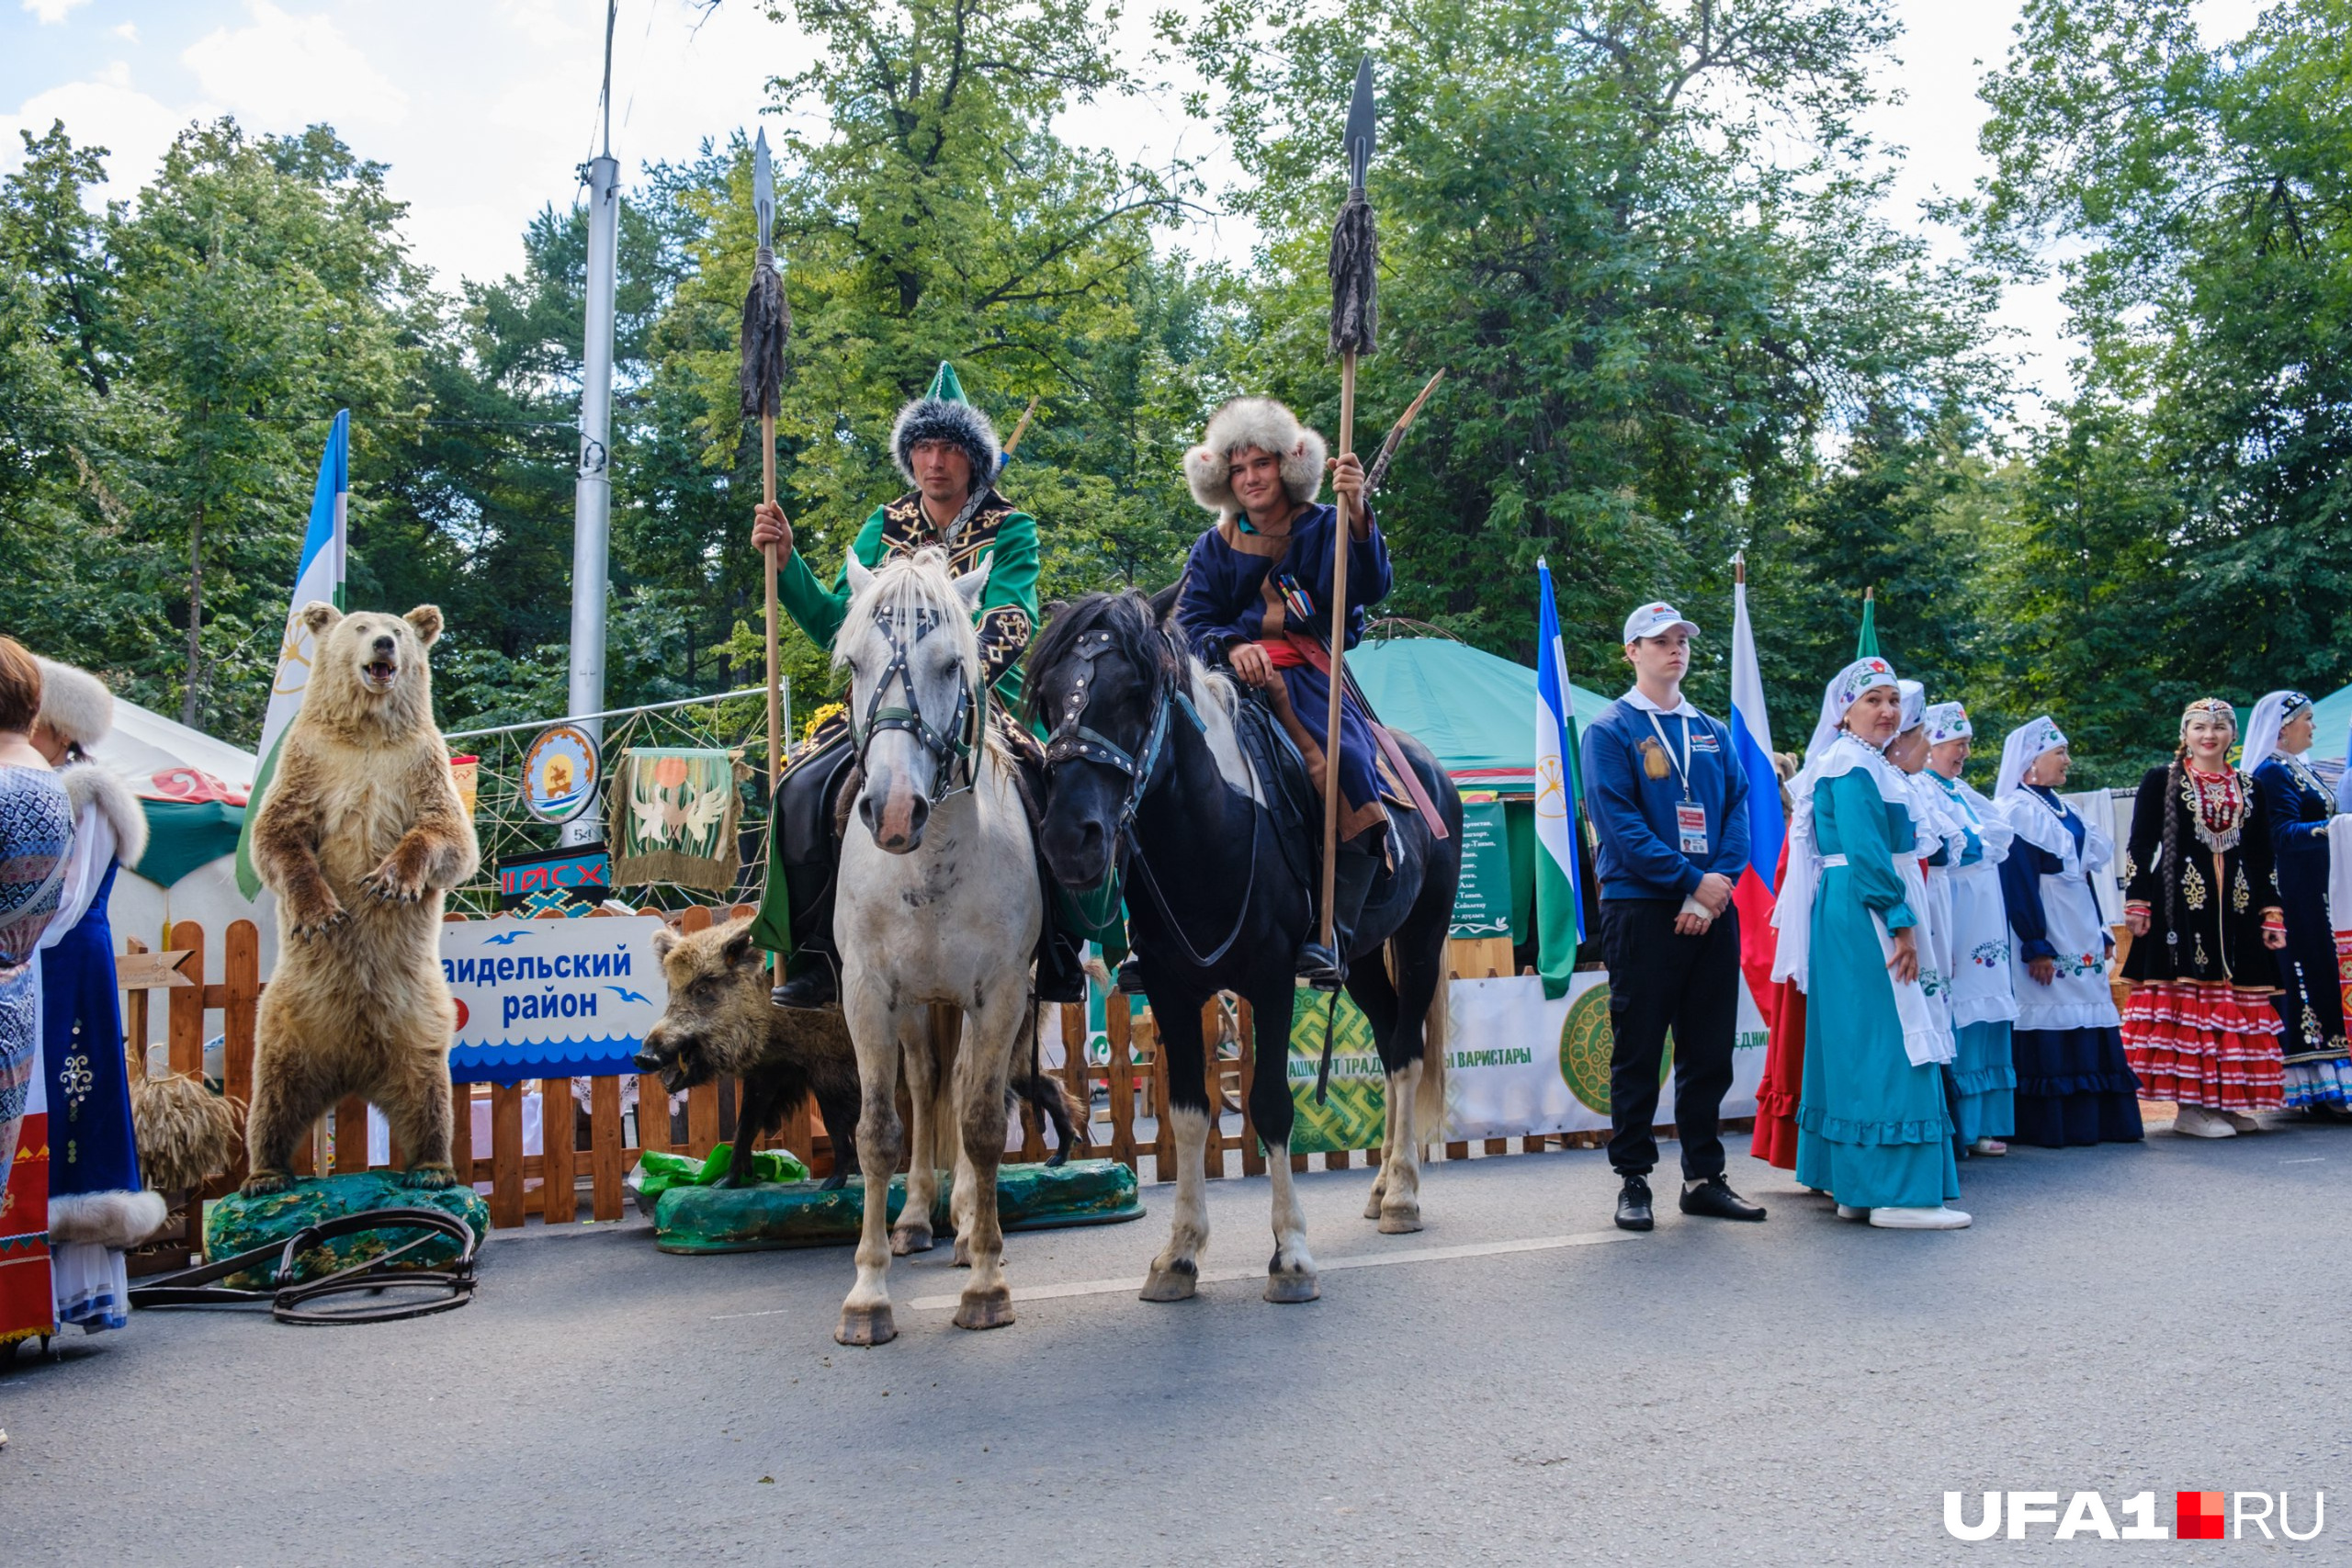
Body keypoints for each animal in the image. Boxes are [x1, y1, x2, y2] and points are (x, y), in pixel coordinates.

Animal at [837, 545, 1039, 1344]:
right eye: (853, 662)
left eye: (953, 663)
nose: (894, 811)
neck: (928, 867)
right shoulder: (867, 992)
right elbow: (876, 1130)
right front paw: (867, 1293)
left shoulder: (1002, 992)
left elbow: (982, 1124)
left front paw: (986, 1279)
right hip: (918, 1002)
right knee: (925, 1084)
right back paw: (921, 1215)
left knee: (959, 1086)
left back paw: (963, 1224)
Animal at [1025, 587, 1458, 1297]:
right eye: (1048, 696)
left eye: (1136, 691)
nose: (1069, 839)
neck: (1208, 829)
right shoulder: (1171, 990)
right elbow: (1189, 1112)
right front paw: (1178, 1253)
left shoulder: (1272, 980)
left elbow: (1272, 1105)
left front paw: (1291, 1254)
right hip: (1365, 957)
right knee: (1391, 1034)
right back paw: (1380, 1189)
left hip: (1421, 938)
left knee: (1405, 1053)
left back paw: (1402, 1194)